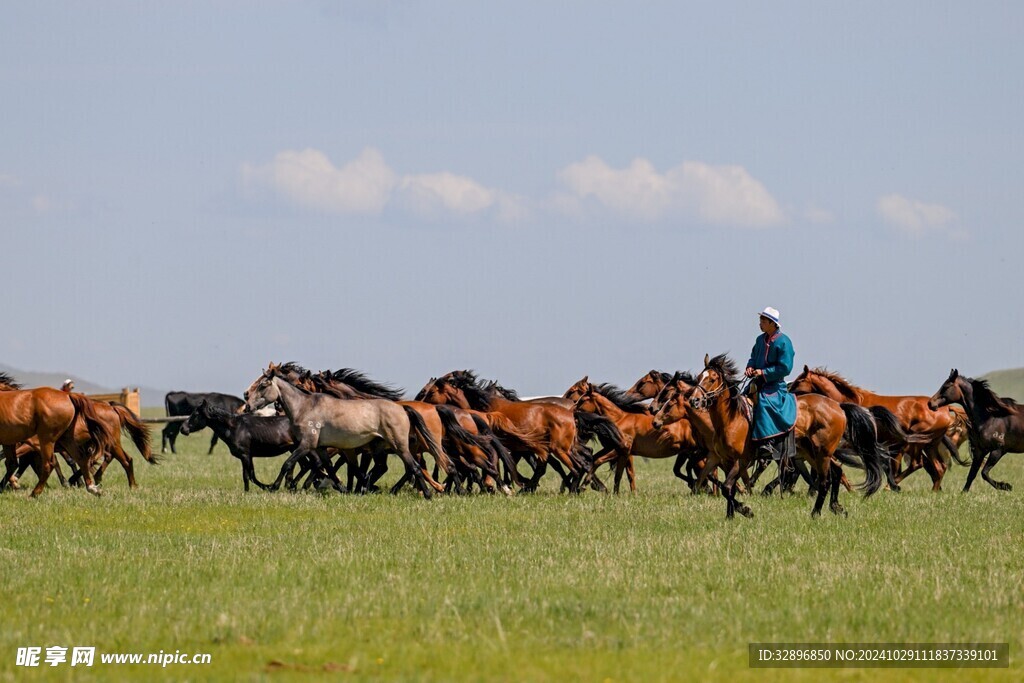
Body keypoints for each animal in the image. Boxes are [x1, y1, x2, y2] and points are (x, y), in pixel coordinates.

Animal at [248, 368, 444, 497]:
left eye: (262, 385)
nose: (247, 402)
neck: (305, 407)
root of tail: (402, 409)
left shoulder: (306, 445)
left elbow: (288, 464)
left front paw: (273, 487)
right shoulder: (321, 448)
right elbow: (329, 468)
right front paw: (342, 488)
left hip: (399, 446)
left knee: (415, 467)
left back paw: (429, 493)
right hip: (380, 448)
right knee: (391, 468)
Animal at [790, 368, 958, 491]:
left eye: (799, 380)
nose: (788, 390)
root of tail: (945, 408)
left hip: (918, 443)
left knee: (917, 464)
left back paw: (890, 487)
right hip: (930, 444)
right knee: (939, 468)